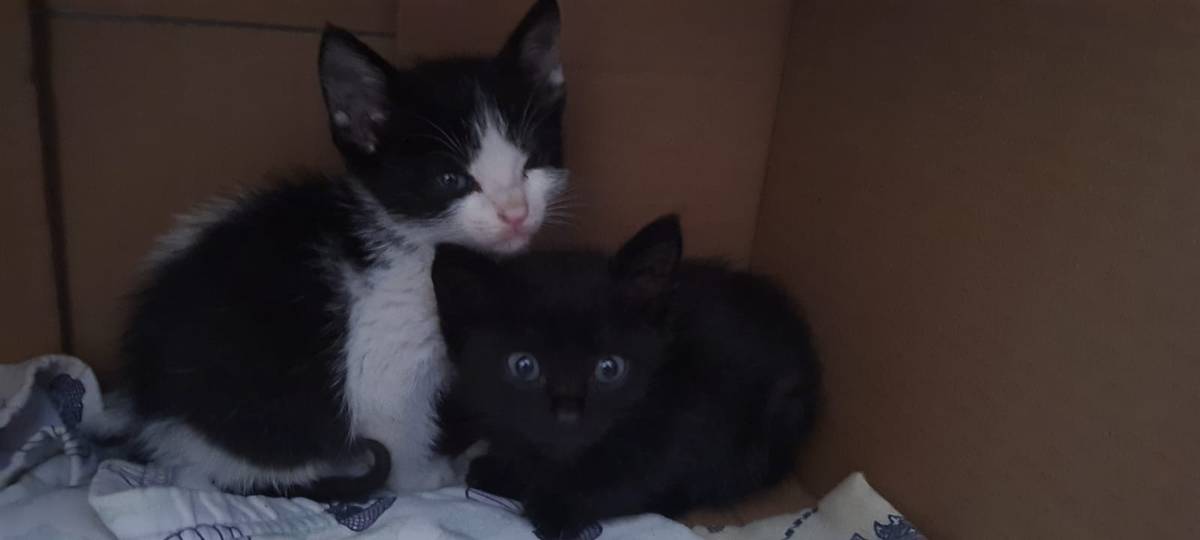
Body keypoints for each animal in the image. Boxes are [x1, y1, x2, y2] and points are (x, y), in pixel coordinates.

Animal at [89, 0, 567, 500]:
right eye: (451, 179)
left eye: (532, 162)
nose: (515, 213)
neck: (421, 250)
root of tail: (146, 406)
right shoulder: (379, 358)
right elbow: (401, 431)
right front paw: (431, 481)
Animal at [431, 215, 822, 539]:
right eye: (523, 366)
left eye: (609, 368)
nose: (568, 412)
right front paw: (506, 469)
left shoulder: (690, 420)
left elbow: (636, 479)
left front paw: (557, 508)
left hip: (773, 426)